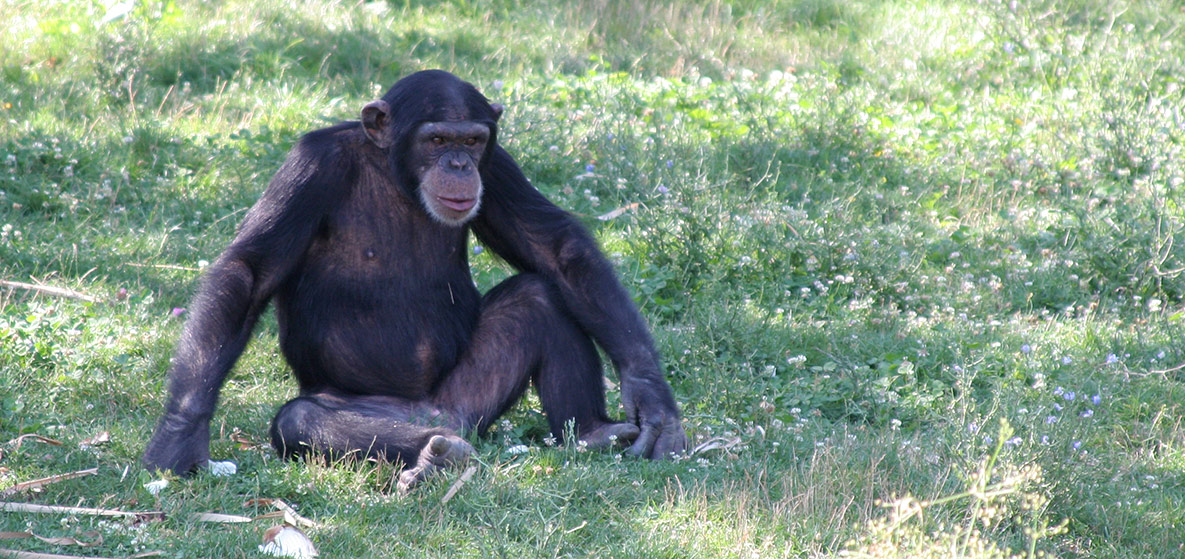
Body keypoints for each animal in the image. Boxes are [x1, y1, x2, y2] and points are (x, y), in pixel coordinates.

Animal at [143, 68, 687, 487]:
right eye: (437, 139)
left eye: (472, 140)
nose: (459, 163)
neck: (394, 173)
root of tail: (431, 415)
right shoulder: (310, 167)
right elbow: (250, 271)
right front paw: (179, 435)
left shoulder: (499, 166)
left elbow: (555, 248)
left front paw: (651, 397)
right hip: (375, 409)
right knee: (302, 418)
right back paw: (429, 452)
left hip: (466, 400)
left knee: (540, 296)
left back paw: (592, 431)